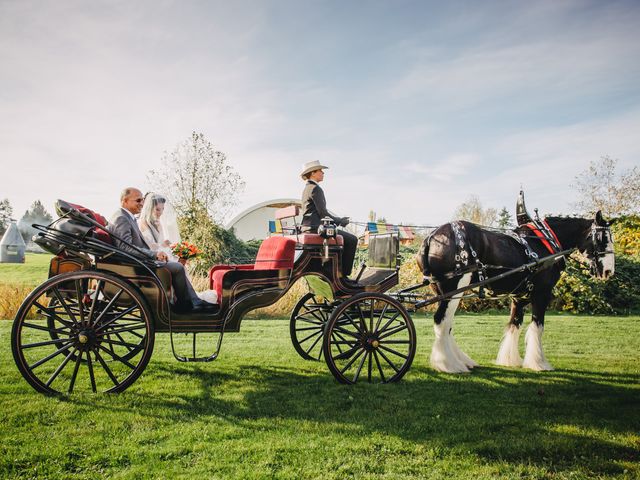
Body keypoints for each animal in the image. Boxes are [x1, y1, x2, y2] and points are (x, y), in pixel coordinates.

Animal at [418, 212, 612, 374]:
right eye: (603, 238)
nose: (609, 271)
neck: (544, 241)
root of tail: (432, 236)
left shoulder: (519, 297)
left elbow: (514, 325)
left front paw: (510, 360)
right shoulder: (542, 293)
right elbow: (537, 327)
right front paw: (539, 363)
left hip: (445, 292)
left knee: (447, 325)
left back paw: (461, 360)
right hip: (454, 289)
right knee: (441, 321)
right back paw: (449, 364)